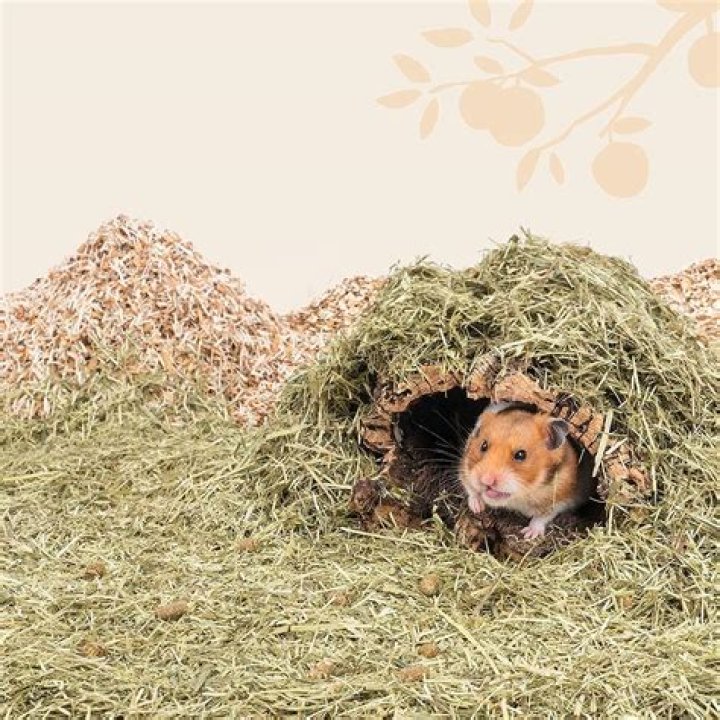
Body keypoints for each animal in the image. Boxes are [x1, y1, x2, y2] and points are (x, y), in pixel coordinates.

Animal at [459, 402, 593, 539]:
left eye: (521, 455)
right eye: (483, 445)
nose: (486, 480)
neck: (522, 495)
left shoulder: (560, 497)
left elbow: (542, 517)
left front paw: (528, 534)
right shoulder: (465, 470)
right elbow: (471, 489)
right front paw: (477, 508)